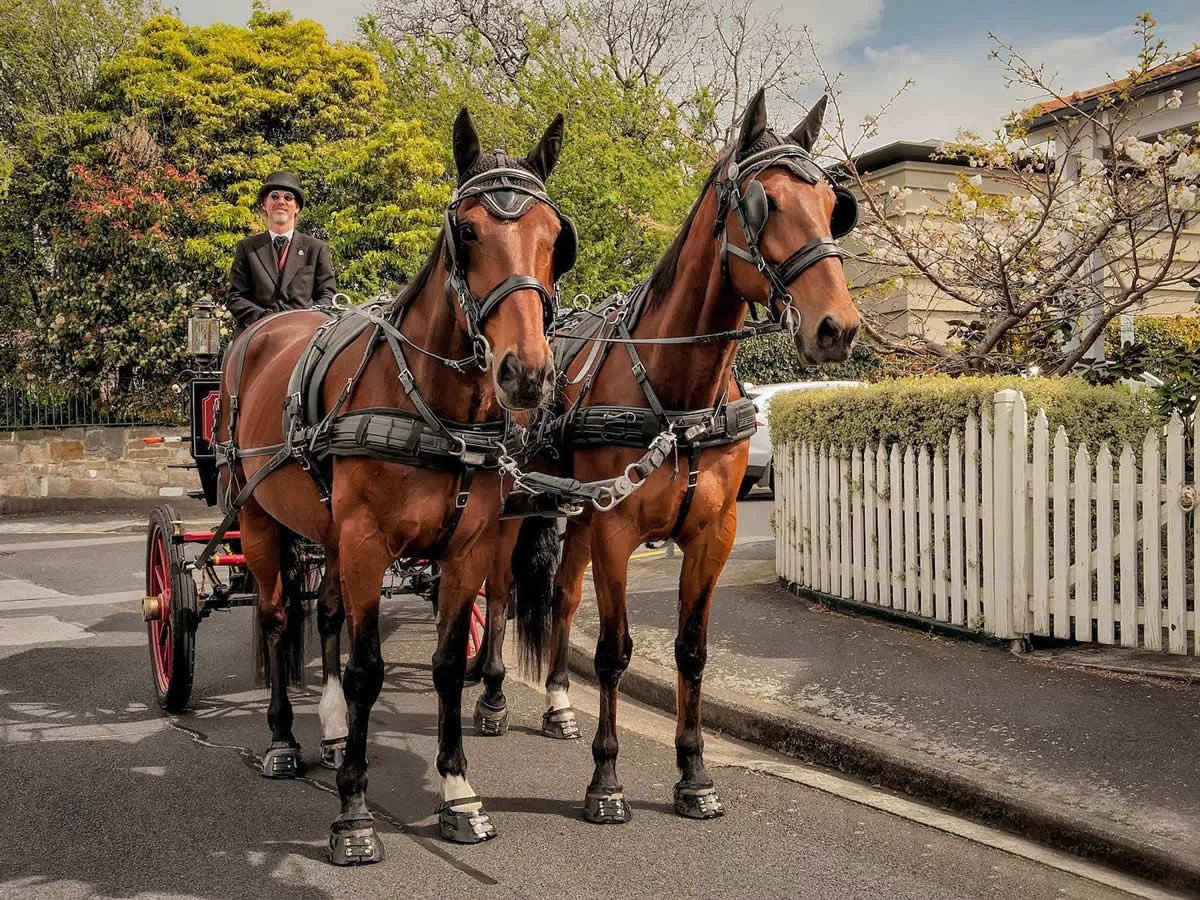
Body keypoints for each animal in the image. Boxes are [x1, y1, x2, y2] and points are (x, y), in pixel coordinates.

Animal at [218, 109, 573, 864]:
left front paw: (459, 794)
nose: (526, 374)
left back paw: (327, 730)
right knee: (277, 615)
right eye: (467, 231)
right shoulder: (365, 543)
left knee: (324, 611)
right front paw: (353, 811)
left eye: (556, 240)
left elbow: (441, 664)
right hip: (259, 517)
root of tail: (270, 327)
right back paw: (284, 739)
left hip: (323, 530)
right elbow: (367, 671)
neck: (434, 406)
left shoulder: (466, 551)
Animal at [472, 90, 859, 825]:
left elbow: (692, 651)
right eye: (764, 203)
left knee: (561, 597)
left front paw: (694, 772)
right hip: (515, 509)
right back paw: (493, 695)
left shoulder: (712, 535)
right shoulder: (617, 531)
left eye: (833, 205)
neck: (678, 392)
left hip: (573, 515)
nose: (839, 328)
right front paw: (606, 780)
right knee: (501, 593)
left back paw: (558, 704)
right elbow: (613, 652)